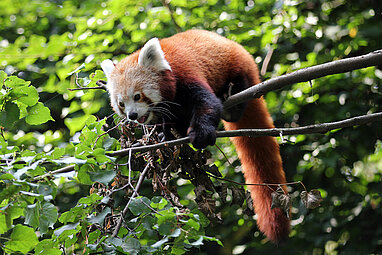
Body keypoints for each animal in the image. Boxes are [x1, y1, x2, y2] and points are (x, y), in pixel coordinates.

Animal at [101, 28, 290, 242]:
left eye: (137, 96)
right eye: (121, 104)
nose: (133, 115)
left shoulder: (186, 74)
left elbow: (206, 104)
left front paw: (200, 133)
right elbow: (166, 121)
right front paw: (164, 135)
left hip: (238, 67)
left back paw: (231, 105)